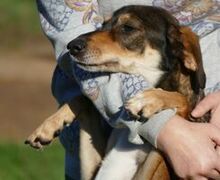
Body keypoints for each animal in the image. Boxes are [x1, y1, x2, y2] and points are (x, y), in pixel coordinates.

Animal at [25, 4, 208, 179]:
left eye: (128, 28)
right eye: (103, 25)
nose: (72, 46)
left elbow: (183, 101)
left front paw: (148, 100)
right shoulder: (91, 170)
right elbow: (83, 99)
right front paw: (49, 126)